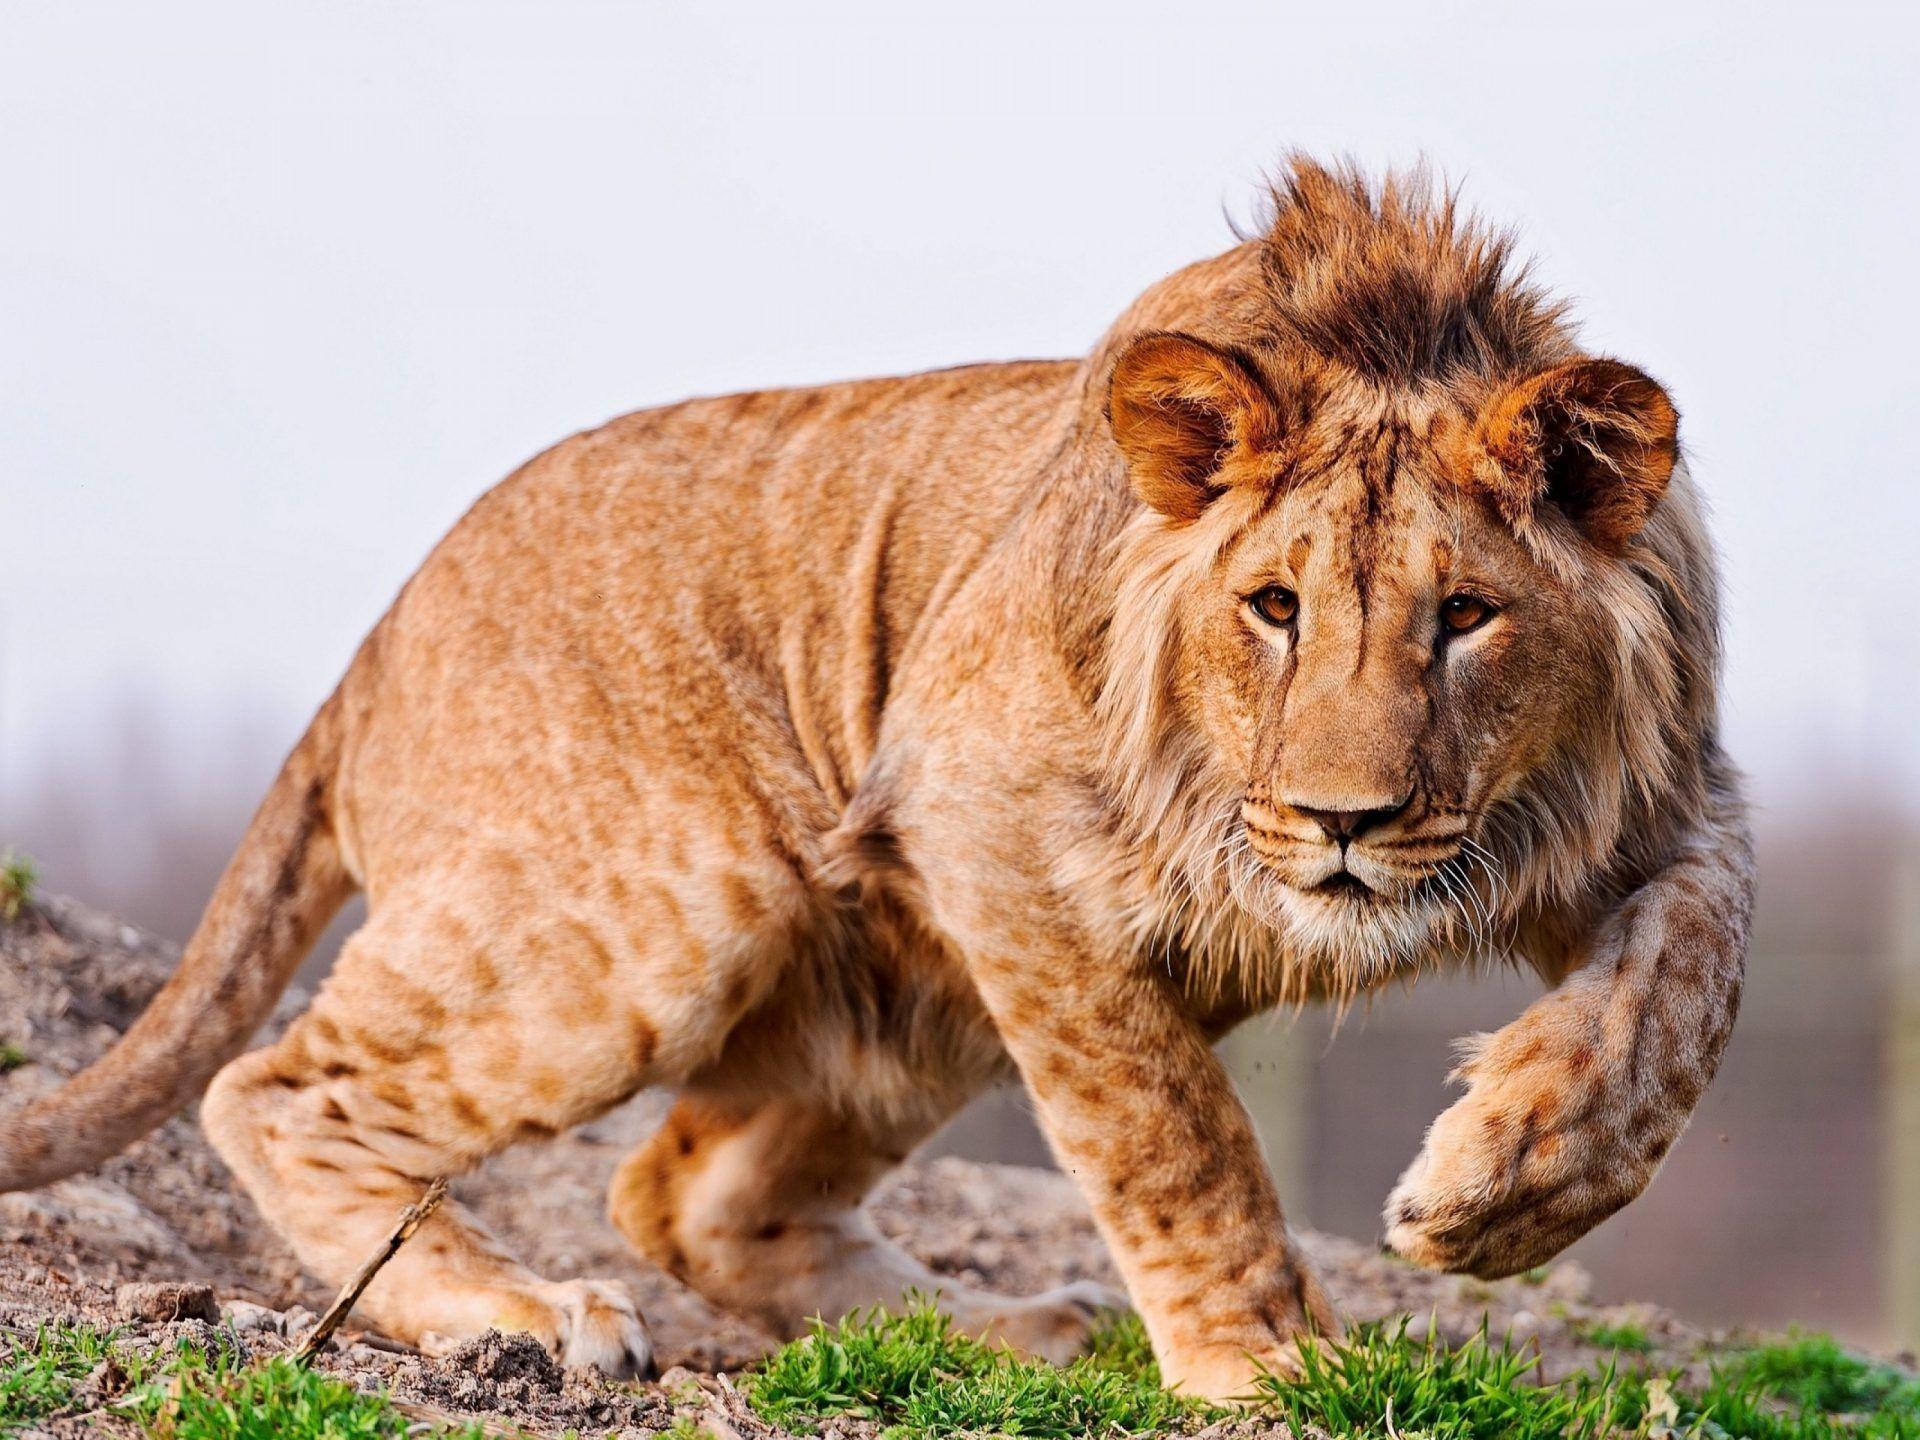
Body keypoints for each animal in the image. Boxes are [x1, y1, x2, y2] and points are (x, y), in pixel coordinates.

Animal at [0, 158, 1751, 1400]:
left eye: (1467, 617)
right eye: (1275, 609)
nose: (1345, 823)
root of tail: (378, 636)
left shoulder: (1663, 803)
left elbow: (1685, 995)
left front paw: (1504, 1187)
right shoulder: (991, 820)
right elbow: (1170, 1129)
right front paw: (1267, 1367)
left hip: (906, 994)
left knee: (688, 1196)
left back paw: (1015, 1331)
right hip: (665, 912)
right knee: (281, 1089)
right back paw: (530, 1313)